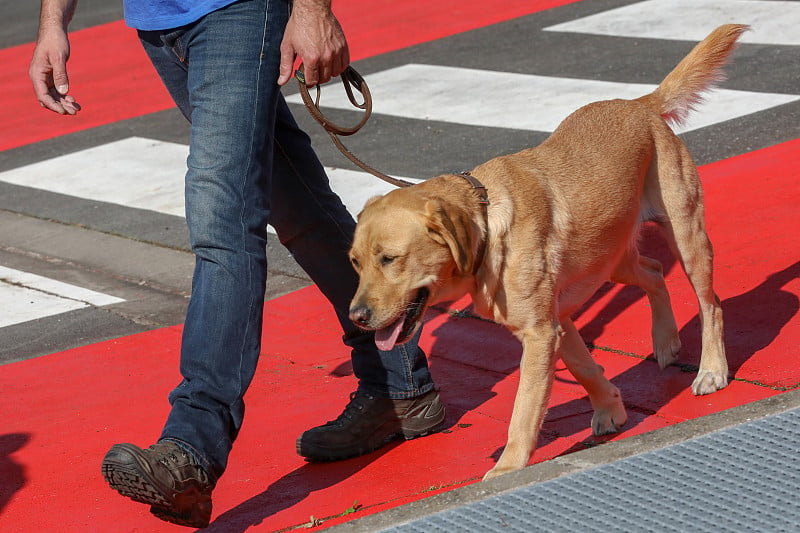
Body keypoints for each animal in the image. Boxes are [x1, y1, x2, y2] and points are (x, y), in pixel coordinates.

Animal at [346, 25, 748, 478]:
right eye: (355, 262)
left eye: (389, 259)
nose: (355, 317)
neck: (488, 226)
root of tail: (638, 104)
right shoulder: (557, 320)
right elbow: (584, 368)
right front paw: (610, 409)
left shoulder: (540, 333)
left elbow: (524, 411)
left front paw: (507, 471)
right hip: (611, 259)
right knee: (654, 270)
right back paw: (665, 340)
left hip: (686, 238)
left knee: (711, 304)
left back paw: (712, 369)